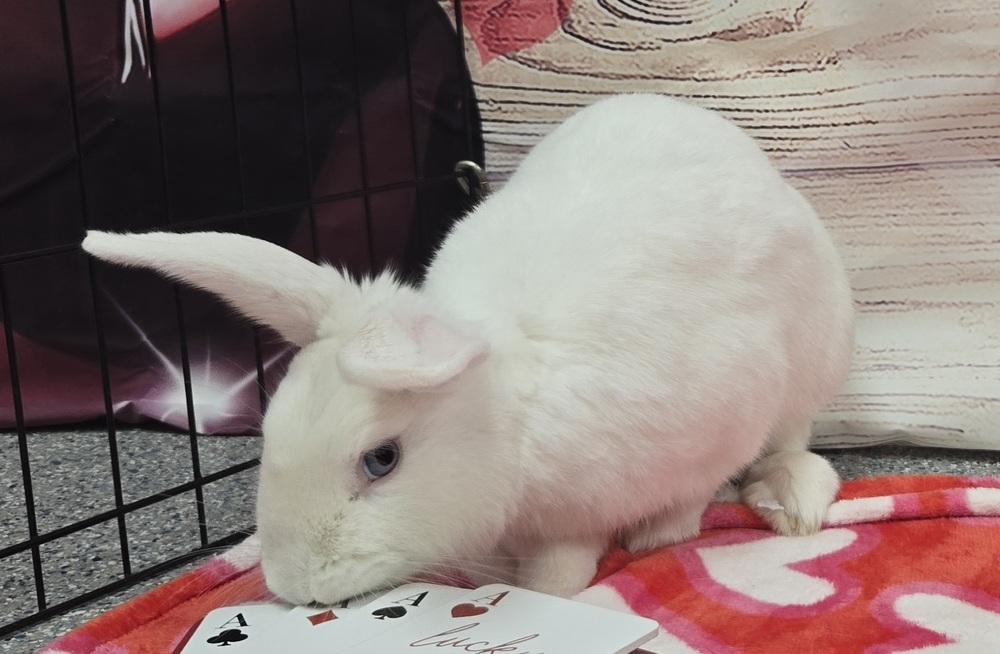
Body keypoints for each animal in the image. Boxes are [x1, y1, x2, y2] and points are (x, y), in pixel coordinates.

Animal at [82, 93, 854, 603]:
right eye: (269, 433)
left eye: (382, 459)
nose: (294, 586)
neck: (511, 424)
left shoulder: (720, 416)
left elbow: (639, 529)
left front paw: (631, 552)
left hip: (812, 355)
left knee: (790, 441)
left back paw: (793, 501)